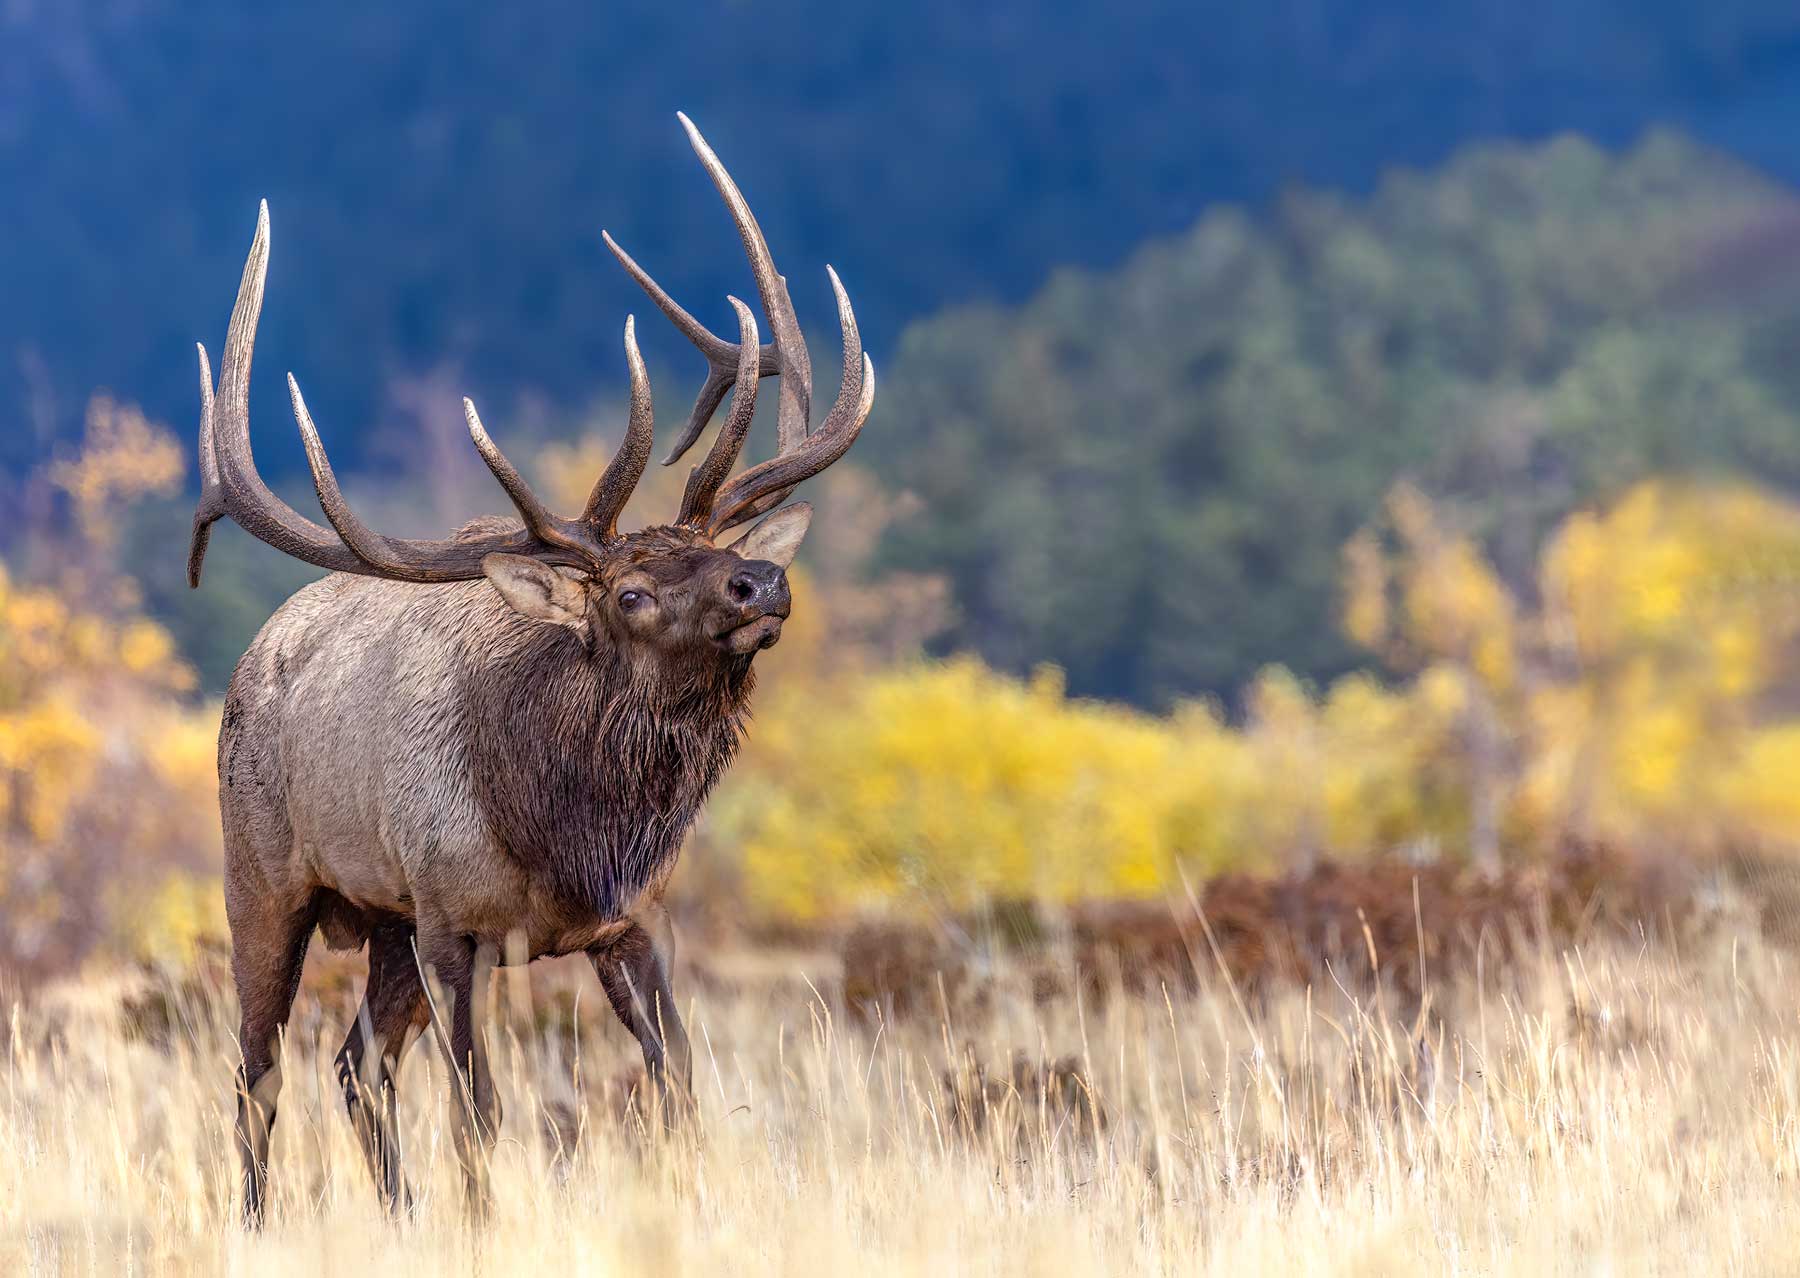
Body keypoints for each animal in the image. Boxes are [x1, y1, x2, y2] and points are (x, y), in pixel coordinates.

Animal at [186, 115, 874, 1224]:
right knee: (259, 1074)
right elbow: (483, 1114)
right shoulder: (454, 924)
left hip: (384, 928)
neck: (563, 831)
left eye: (715, 553)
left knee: (355, 1068)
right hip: (266, 881)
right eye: (628, 595)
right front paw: (483, 1224)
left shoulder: (634, 919)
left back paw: (401, 1215)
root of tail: (256, 654)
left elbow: (676, 1084)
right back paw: (259, 1225)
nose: (761, 581)